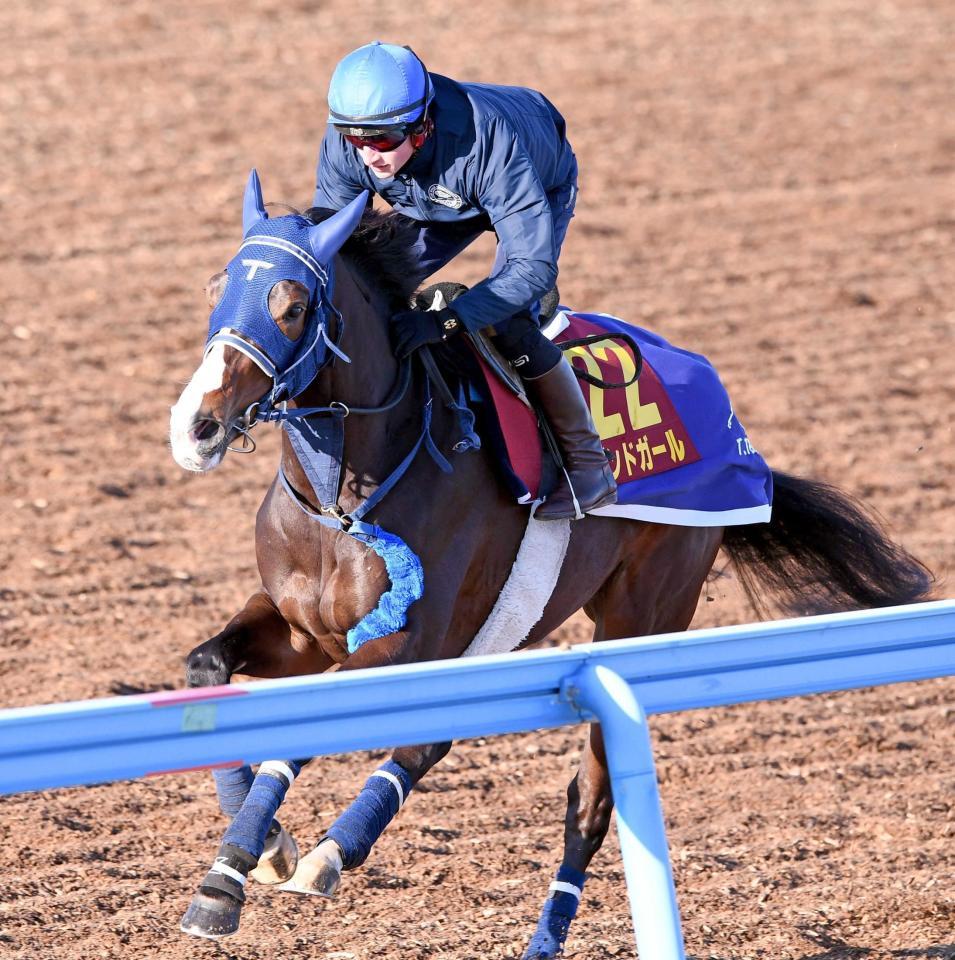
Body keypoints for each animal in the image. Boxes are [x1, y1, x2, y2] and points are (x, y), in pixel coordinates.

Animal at [168, 174, 928, 960]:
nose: (196, 426)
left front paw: (241, 872)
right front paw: (254, 853)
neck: (341, 499)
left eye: (292, 308)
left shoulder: (402, 643)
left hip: (641, 613)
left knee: (586, 800)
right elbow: (207, 668)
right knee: (432, 741)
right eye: (214, 289)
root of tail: (734, 431)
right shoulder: (301, 630)